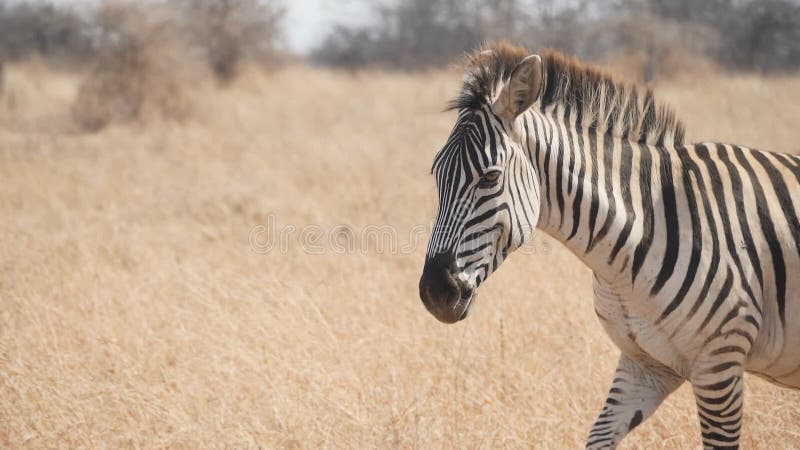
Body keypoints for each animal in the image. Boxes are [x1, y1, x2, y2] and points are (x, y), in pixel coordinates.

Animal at [416, 40, 800, 448]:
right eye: (436, 175)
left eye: (489, 177)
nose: (435, 293)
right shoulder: (645, 363)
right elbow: (599, 436)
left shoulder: (719, 362)